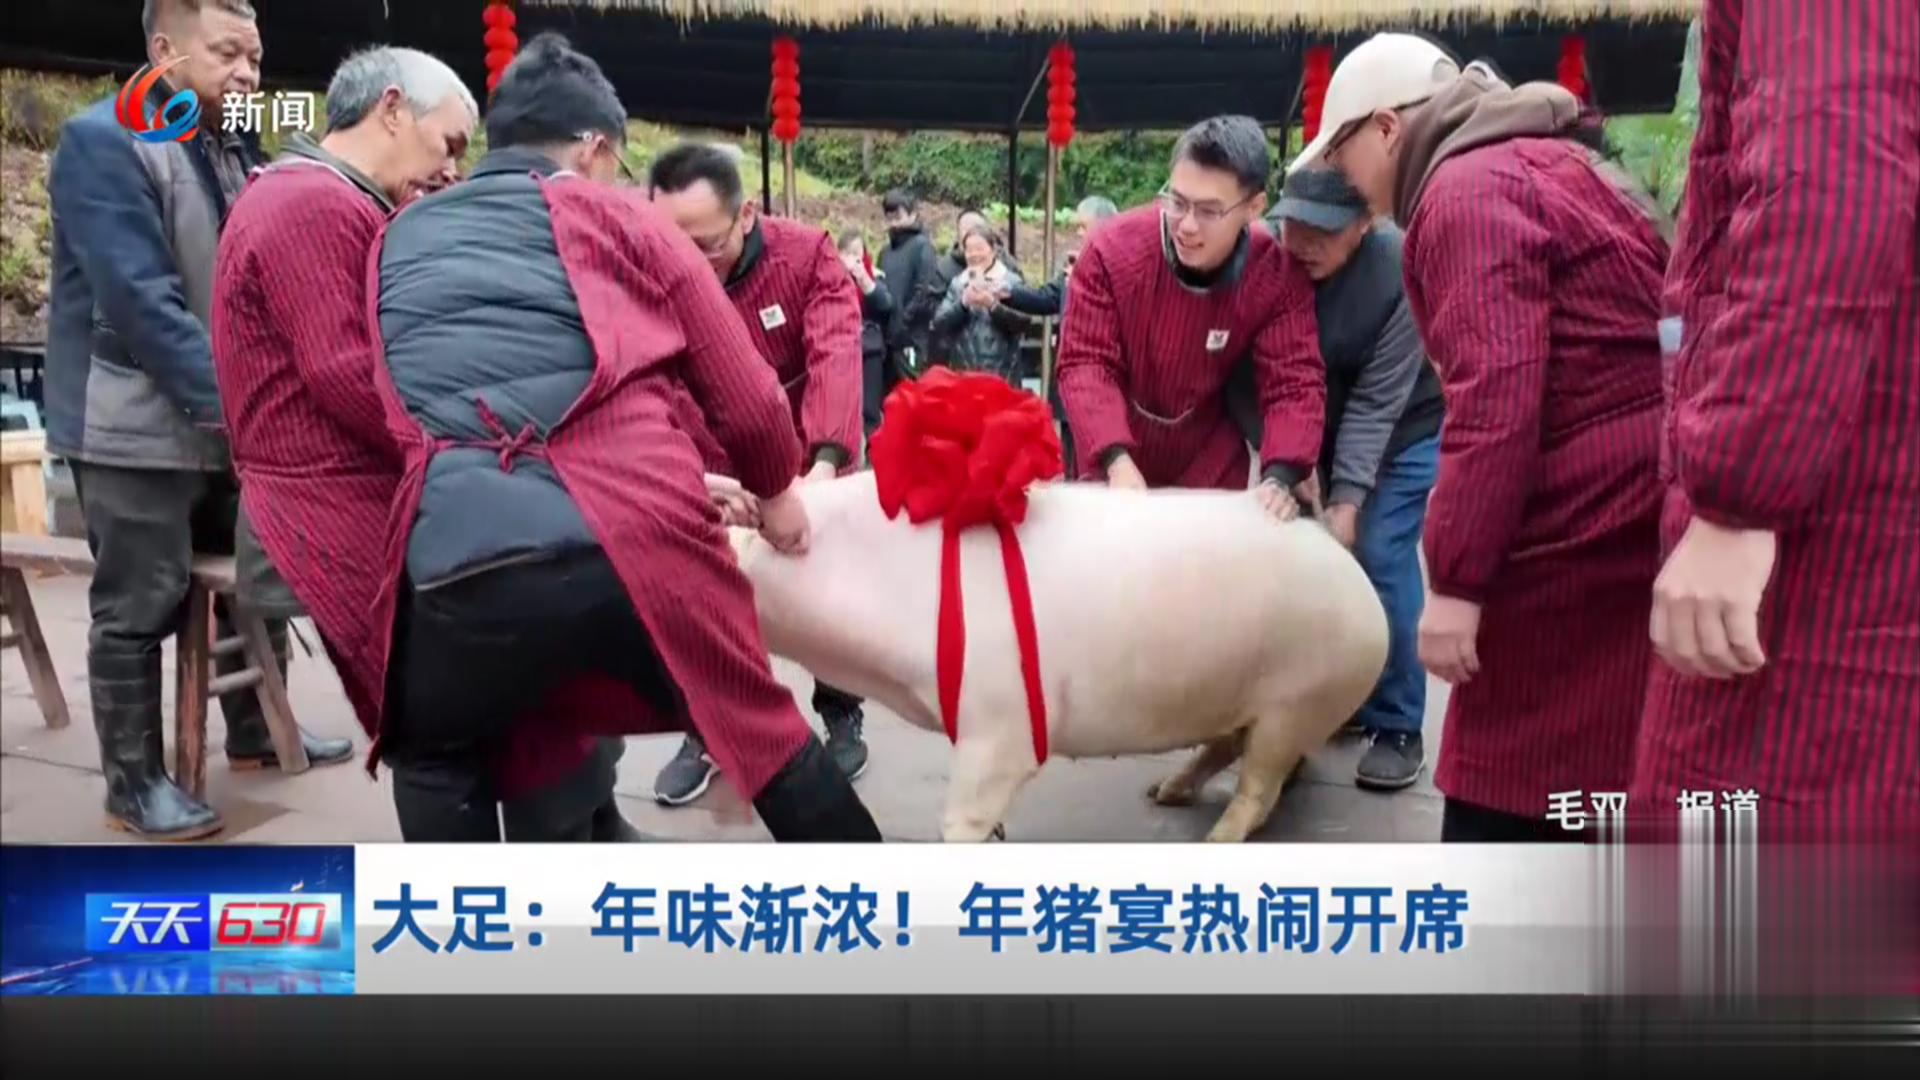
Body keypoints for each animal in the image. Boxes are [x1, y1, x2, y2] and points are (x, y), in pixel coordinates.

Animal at [725, 470, 1389, 842]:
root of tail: (1359, 580)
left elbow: (963, 817)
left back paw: (1213, 841)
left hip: (1299, 697)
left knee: (1259, 789)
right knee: (1227, 748)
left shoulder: (1001, 721)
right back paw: (1162, 792)